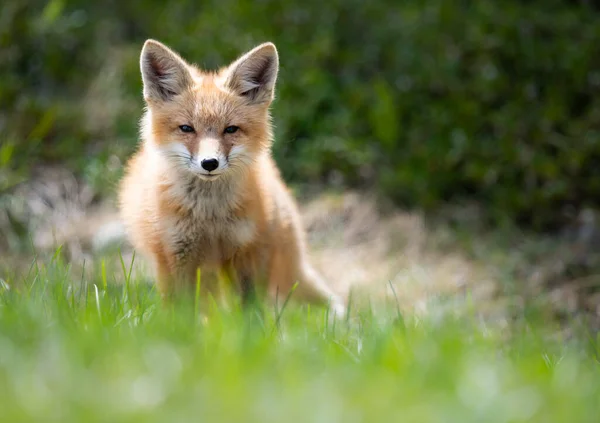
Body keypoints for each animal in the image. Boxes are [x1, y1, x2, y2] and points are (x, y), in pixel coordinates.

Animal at [117, 39, 346, 316]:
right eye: (186, 128)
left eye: (231, 129)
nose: (209, 163)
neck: (210, 217)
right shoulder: (177, 256)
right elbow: (183, 313)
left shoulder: (245, 252)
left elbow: (249, 312)